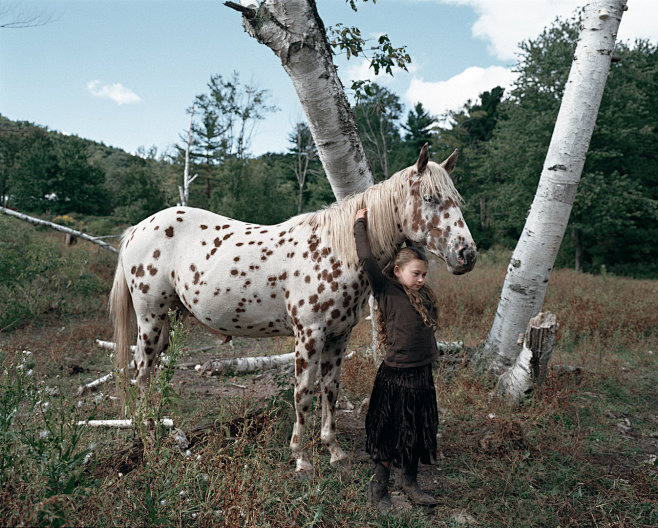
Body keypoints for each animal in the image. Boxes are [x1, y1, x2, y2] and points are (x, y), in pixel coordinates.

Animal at [110, 143, 474, 474]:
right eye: (430, 199)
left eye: (457, 199)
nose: (466, 255)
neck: (336, 250)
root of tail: (137, 230)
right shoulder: (309, 336)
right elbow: (303, 393)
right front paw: (301, 458)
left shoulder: (338, 337)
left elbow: (330, 390)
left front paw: (334, 451)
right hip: (150, 319)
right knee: (141, 374)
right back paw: (150, 443)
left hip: (167, 322)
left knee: (152, 375)